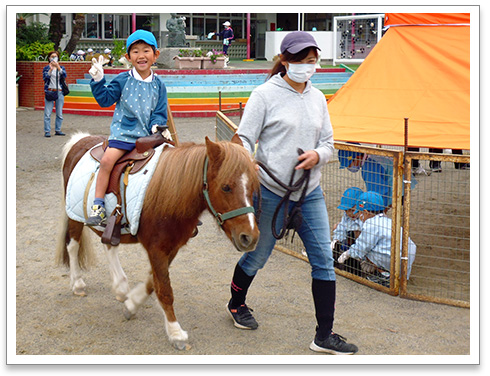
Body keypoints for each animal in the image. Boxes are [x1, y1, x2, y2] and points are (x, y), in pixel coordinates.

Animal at [55, 132, 260, 350]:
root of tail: (80, 139)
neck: (169, 192)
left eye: (253, 186)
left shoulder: (171, 247)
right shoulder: (157, 249)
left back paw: (120, 287)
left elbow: (153, 282)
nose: (250, 237)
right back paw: (77, 283)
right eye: (226, 187)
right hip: (75, 217)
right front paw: (176, 332)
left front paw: (131, 304)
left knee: (109, 246)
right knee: (73, 246)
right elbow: (165, 290)